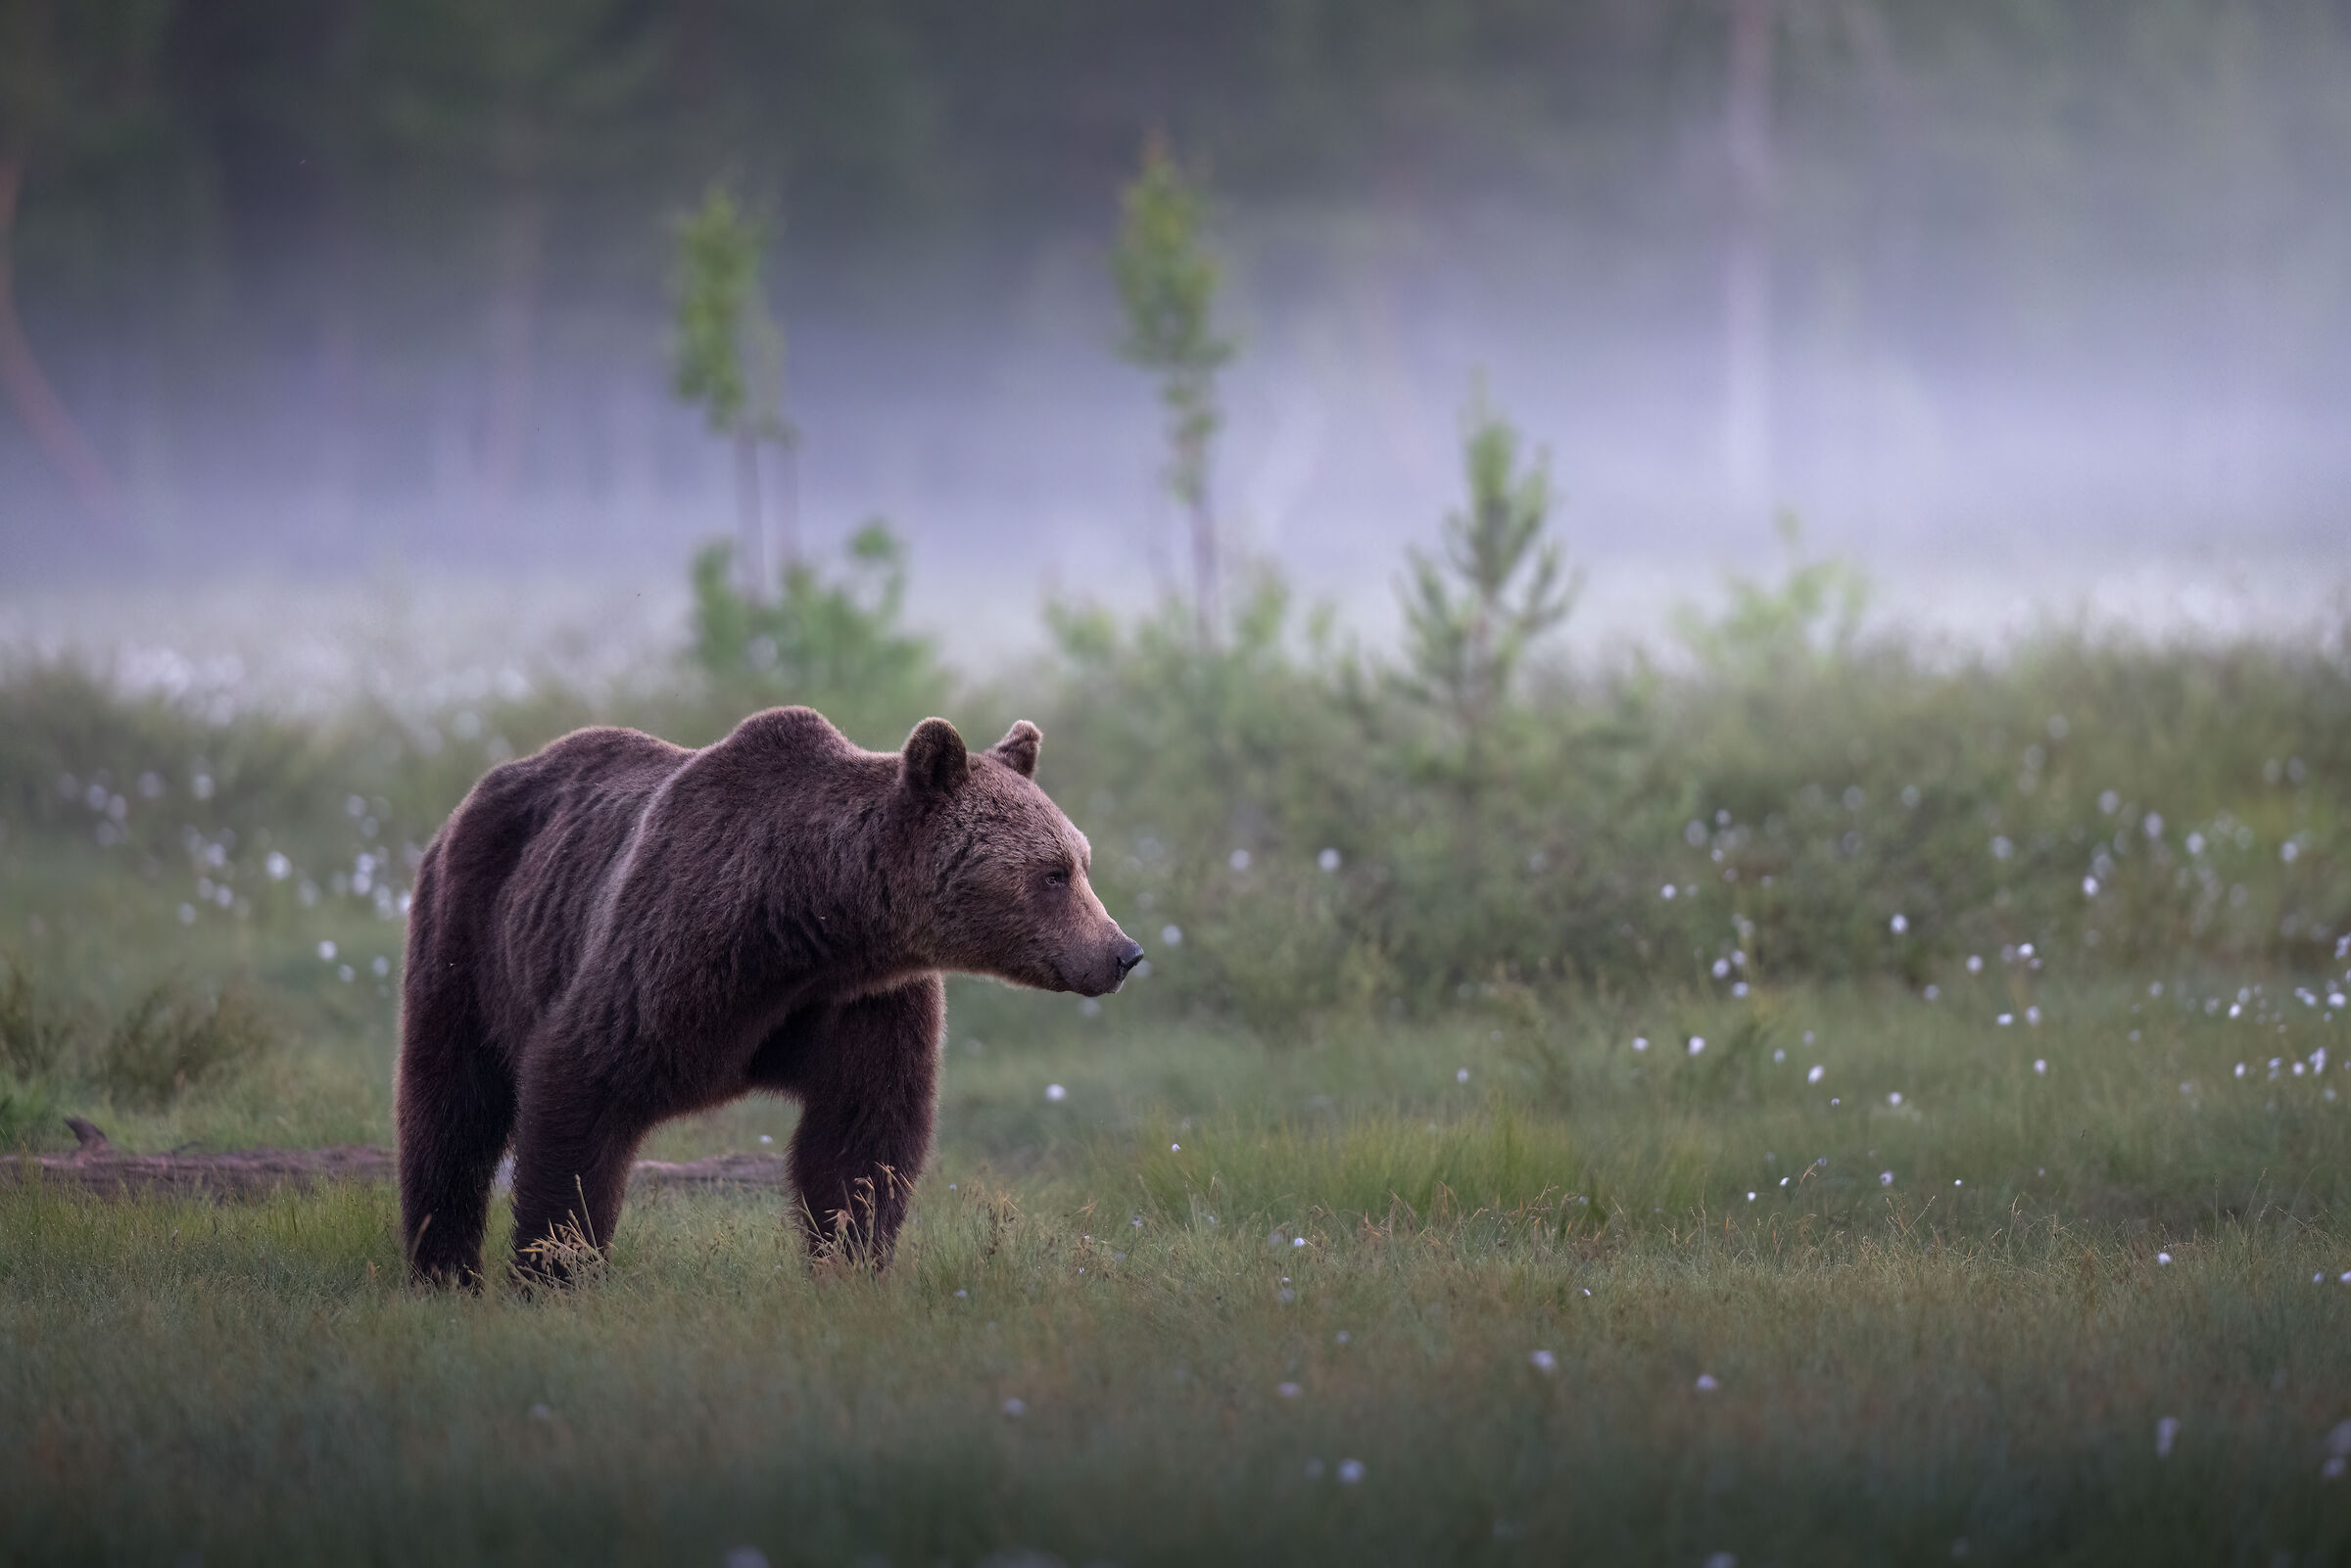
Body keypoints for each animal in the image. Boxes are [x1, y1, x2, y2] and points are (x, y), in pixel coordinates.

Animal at [395, 708, 1142, 1286]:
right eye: (1052, 873)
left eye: (1082, 861)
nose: (1122, 951)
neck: (809, 924)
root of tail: (482, 788)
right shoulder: (669, 955)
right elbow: (577, 1087)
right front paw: (556, 1267)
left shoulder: (865, 1002)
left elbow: (862, 1137)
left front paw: (849, 1263)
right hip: (470, 938)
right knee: (451, 1105)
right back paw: (443, 1268)